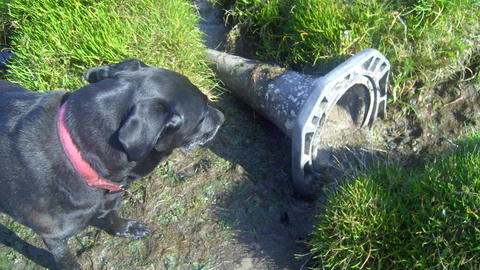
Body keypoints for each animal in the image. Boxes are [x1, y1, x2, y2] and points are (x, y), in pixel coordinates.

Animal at [0, 59, 225, 270]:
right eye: (203, 113)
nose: (223, 117)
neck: (77, 152)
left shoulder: (108, 197)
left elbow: (112, 214)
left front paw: (125, 229)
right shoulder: (54, 238)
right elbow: (66, 260)